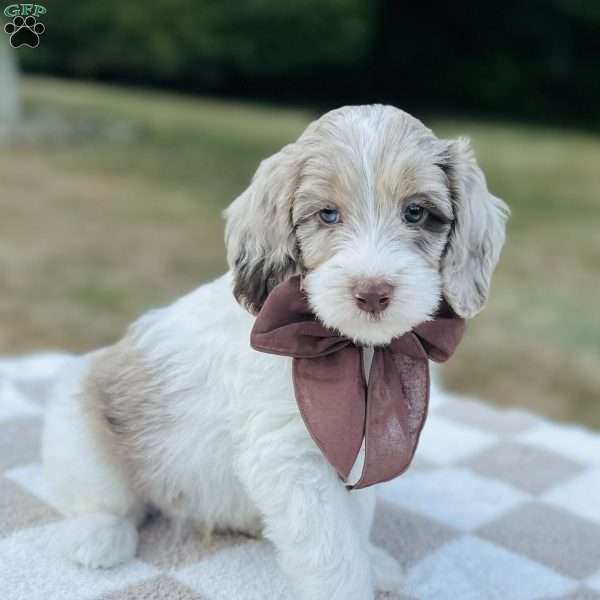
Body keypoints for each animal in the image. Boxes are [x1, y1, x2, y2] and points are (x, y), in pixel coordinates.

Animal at [44, 105, 508, 600]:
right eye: (328, 214)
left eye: (416, 212)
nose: (372, 292)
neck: (354, 352)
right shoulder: (290, 457)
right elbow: (333, 556)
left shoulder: (356, 451)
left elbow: (355, 522)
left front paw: (371, 562)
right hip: (80, 431)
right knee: (104, 500)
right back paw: (98, 535)